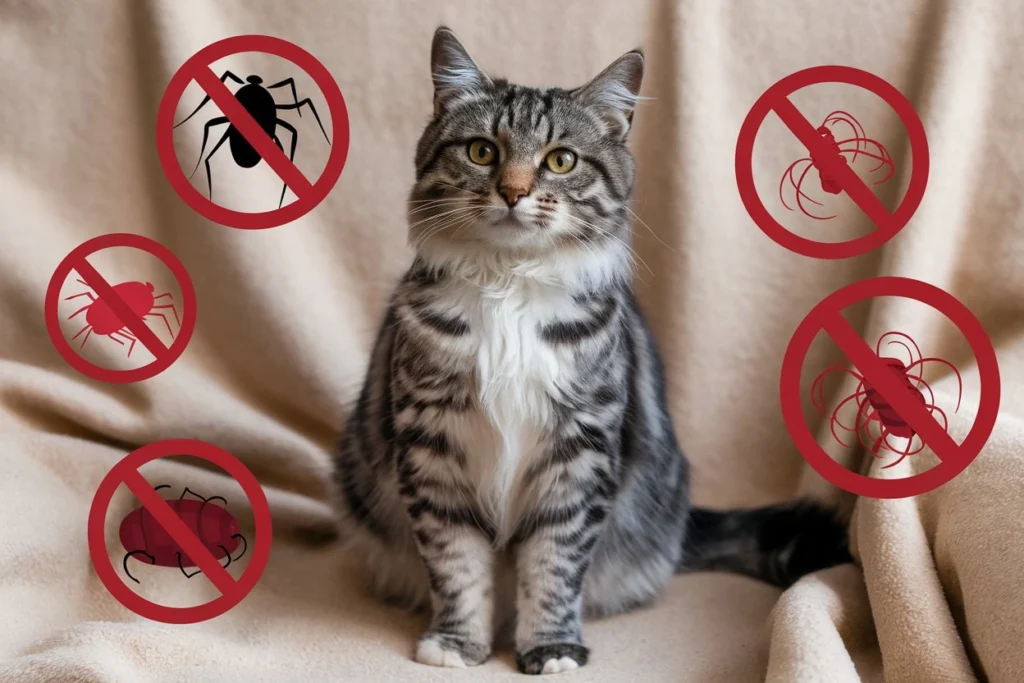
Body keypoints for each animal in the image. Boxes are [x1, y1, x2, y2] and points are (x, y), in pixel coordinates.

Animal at [331, 25, 851, 671]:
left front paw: (551, 647)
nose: (513, 192)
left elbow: (553, 566)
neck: (510, 283)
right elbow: (457, 565)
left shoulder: (579, 454)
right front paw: (456, 643)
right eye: (482, 152)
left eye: (561, 160)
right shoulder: (434, 448)